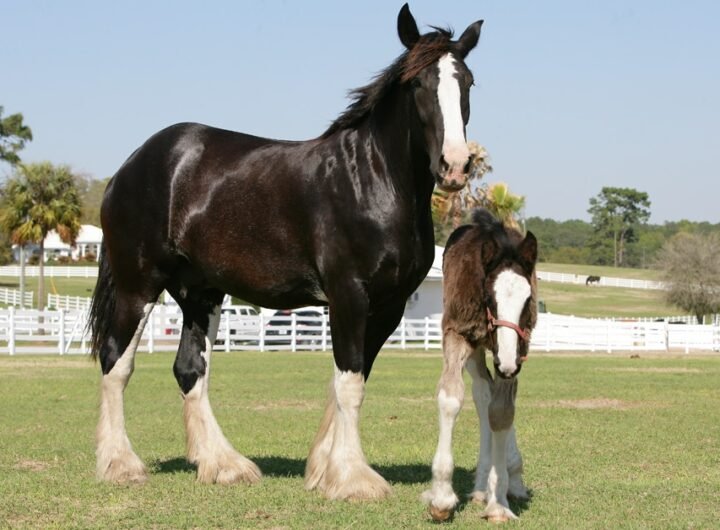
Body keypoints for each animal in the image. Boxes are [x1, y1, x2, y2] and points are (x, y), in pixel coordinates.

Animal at [90, 4, 484, 500]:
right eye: (417, 84)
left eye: (467, 82)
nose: (455, 166)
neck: (371, 181)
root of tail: (133, 164)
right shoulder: (349, 296)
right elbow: (350, 385)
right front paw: (353, 479)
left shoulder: (389, 307)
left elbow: (348, 380)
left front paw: (324, 470)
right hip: (137, 283)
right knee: (116, 362)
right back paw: (121, 464)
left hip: (200, 293)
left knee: (190, 370)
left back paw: (224, 464)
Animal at [420, 208, 536, 516]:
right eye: (489, 297)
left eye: (528, 299)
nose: (507, 363)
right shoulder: (457, 334)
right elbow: (451, 400)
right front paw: (441, 497)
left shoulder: (519, 348)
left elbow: (503, 411)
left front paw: (499, 501)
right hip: (475, 351)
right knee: (482, 393)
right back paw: (483, 483)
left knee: (491, 398)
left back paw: (504, 479)